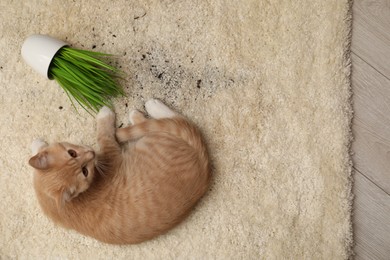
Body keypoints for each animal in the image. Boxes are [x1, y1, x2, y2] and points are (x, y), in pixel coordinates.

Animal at [28, 98, 210, 245]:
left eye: (71, 152)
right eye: (85, 172)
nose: (91, 153)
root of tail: (203, 167)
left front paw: (37, 146)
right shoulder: (111, 156)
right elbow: (104, 136)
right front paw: (105, 115)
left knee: (176, 121)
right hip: (153, 141)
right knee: (173, 122)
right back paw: (144, 111)